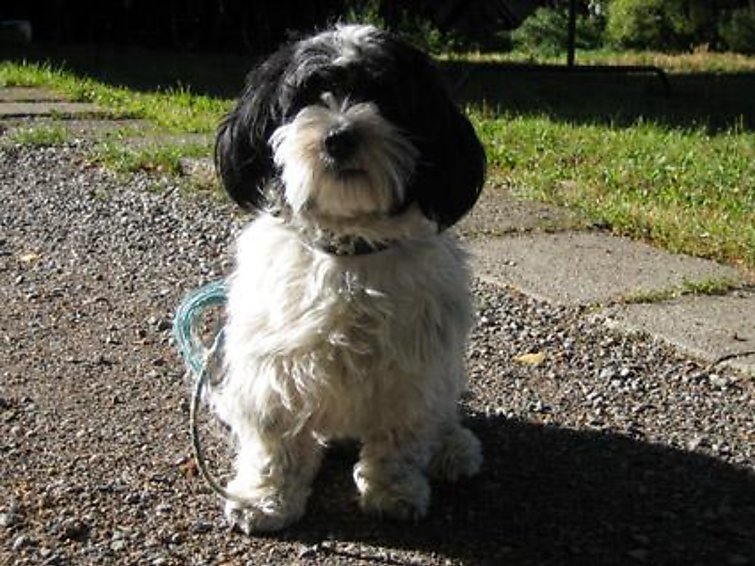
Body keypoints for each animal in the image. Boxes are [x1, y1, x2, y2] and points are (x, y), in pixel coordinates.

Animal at [213, 23, 488, 536]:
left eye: (385, 97)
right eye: (308, 96)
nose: (339, 137)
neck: (349, 252)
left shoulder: (409, 374)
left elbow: (399, 441)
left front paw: (394, 492)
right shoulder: (274, 369)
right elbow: (273, 444)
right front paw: (264, 499)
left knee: (441, 415)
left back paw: (453, 447)